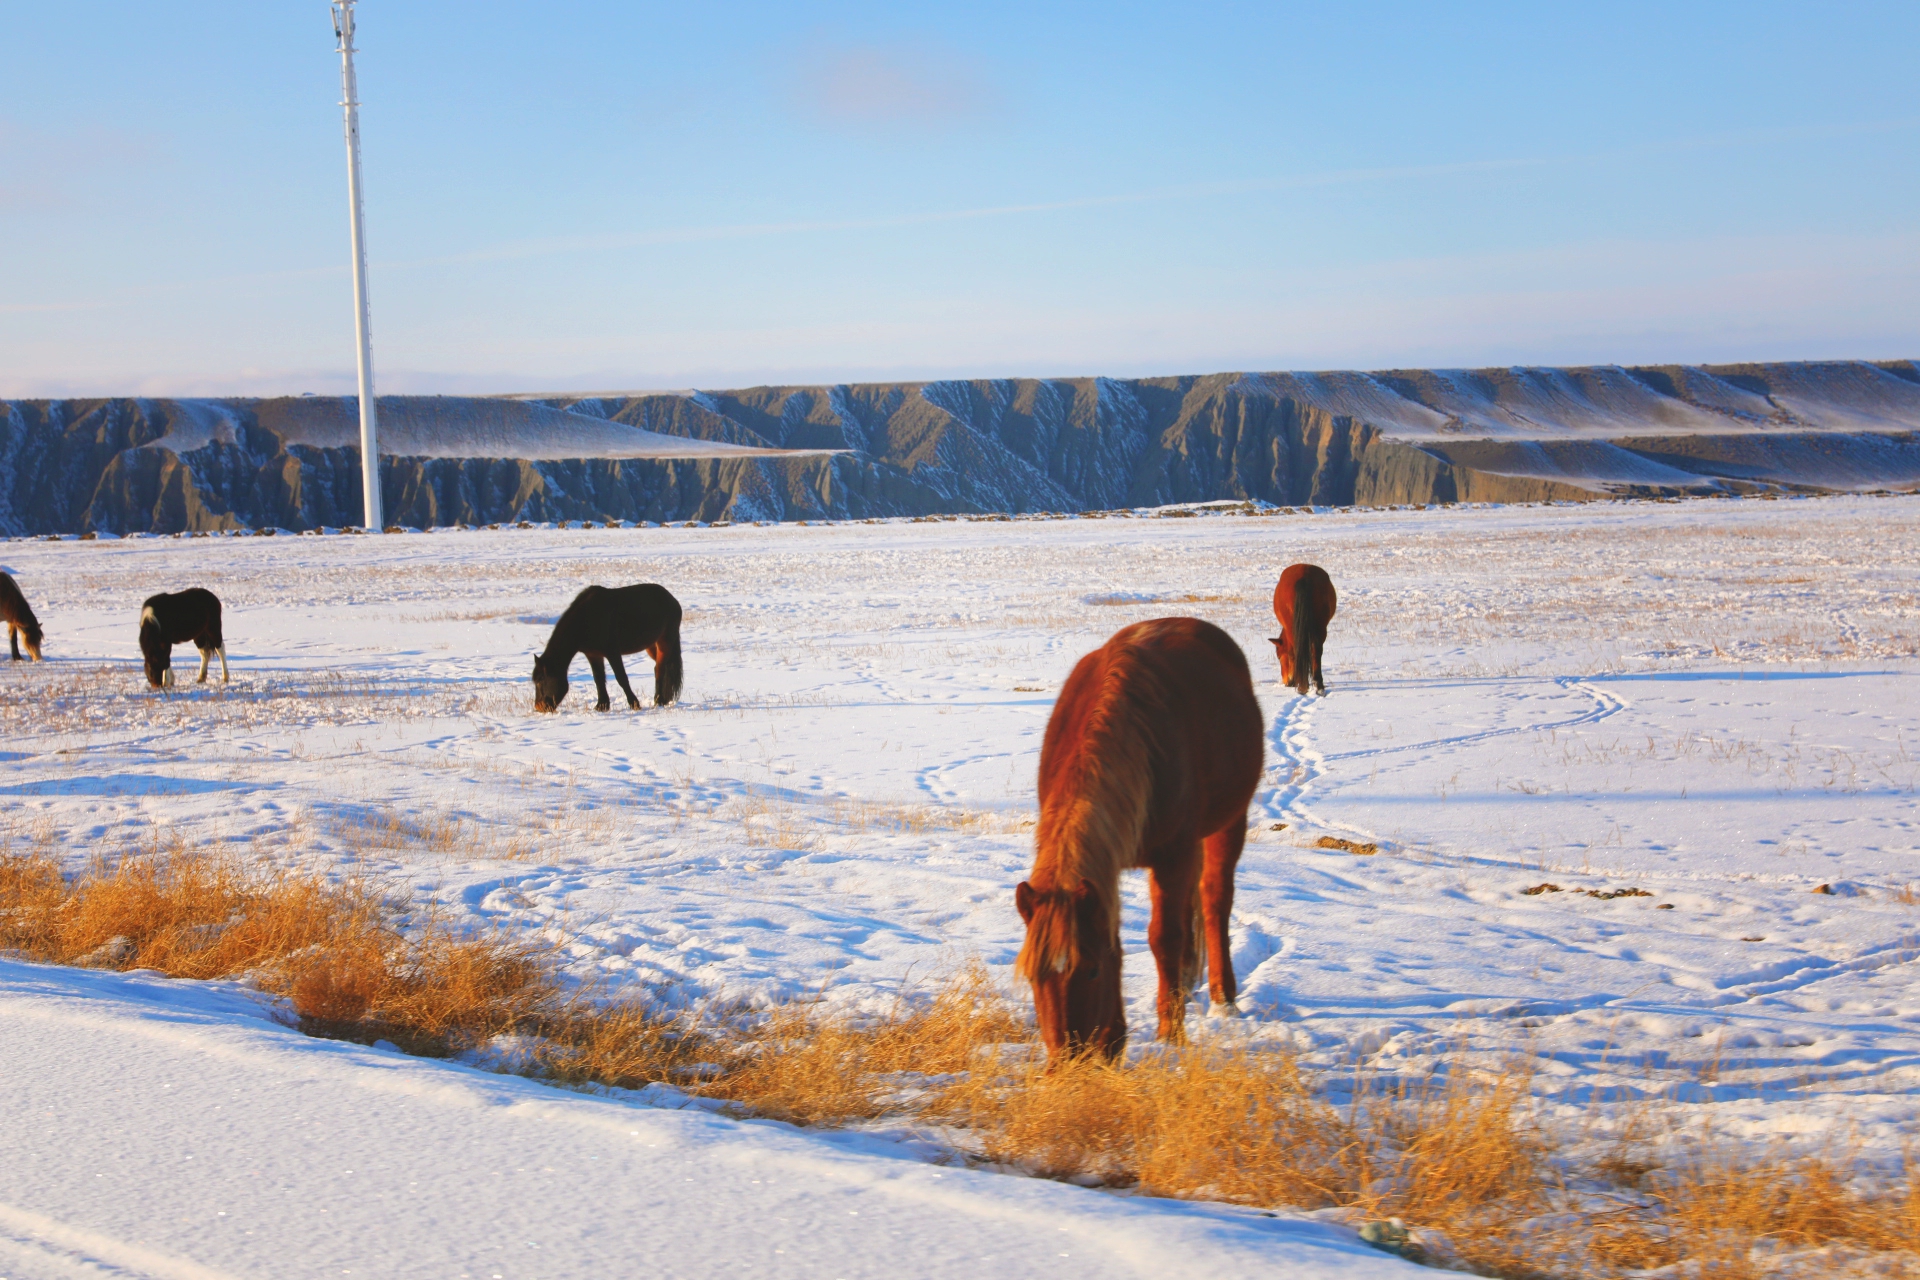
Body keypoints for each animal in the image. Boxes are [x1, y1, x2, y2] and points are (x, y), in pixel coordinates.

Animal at [1013, 617, 1267, 1059]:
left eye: (1090, 971)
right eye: (1033, 976)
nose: (1066, 1063)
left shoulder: (1172, 856)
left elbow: (1163, 937)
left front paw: (1170, 1035)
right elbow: (1118, 935)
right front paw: (1114, 1039)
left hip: (1228, 821)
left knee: (1214, 900)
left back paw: (1223, 999)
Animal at [1259, 564, 1336, 694]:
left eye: (1279, 656)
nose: (1286, 681)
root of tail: (1304, 575)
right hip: (1321, 627)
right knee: (1317, 651)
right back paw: (1318, 686)